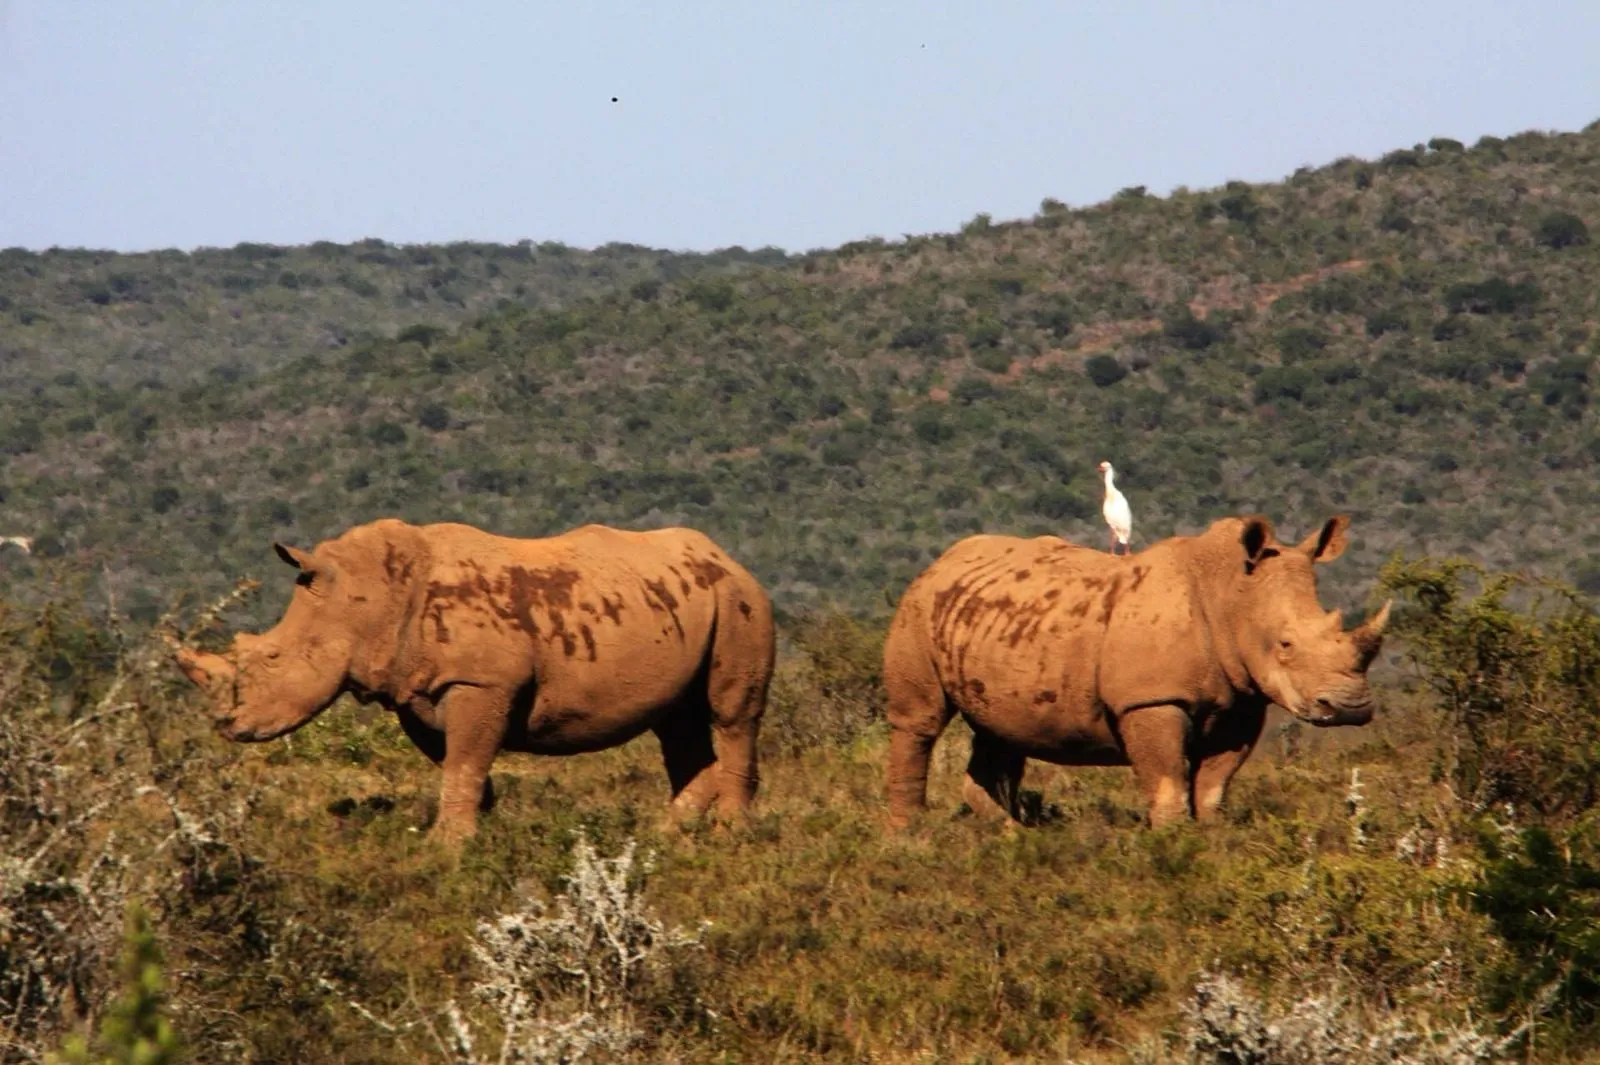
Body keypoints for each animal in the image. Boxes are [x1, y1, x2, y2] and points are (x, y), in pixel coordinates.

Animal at [174, 519, 775, 842]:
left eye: (274, 658)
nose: (226, 726)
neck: (363, 596)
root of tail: (728, 556)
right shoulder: (415, 689)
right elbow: (460, 762)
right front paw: (475, 833)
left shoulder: (480, 682)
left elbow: (465, 758)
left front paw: (448, 845)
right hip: (686, 599)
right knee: (678, 723)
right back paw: (669, 834)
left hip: (740, 601)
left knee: (732, 716)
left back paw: (729, 834)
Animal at [882, 514, 1390, 829]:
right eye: (1285, 645)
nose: (1349, 708)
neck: (1230, 595)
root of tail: (941, 561)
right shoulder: (1150, 698)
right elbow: (1167, 784)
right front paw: (1171, 845)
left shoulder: (1241, 701)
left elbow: (1212, 788)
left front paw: (1211, 843)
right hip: (918, 606)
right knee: (919, 722)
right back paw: (910, 838)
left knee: (1003, 730)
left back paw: (1013, 836)